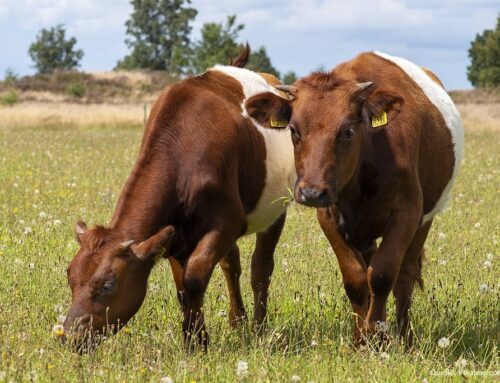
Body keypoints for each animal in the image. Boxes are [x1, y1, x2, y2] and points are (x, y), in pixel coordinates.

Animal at [62, 46, 296, 350]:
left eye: (108, 285)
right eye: (70, 275)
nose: (70, 335)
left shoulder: (228, 222)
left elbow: (194, 280)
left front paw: (197, 341)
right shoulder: (174, 234)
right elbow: (183, 286)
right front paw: (194, 338)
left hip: (276, 207)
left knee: (261, 267)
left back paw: (258, 326)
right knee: (231, 264)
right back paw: (238, 321)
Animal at [258, 52, 464, 346]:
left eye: (347, 131)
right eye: (294, 130)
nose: (311, 192)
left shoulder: (406, 213)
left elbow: (382, 275)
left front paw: (378, 336)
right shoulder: (329, 217)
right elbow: (356, 280)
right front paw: (362, 339)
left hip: (425, 219)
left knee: (405, 275)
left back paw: (405, 337)